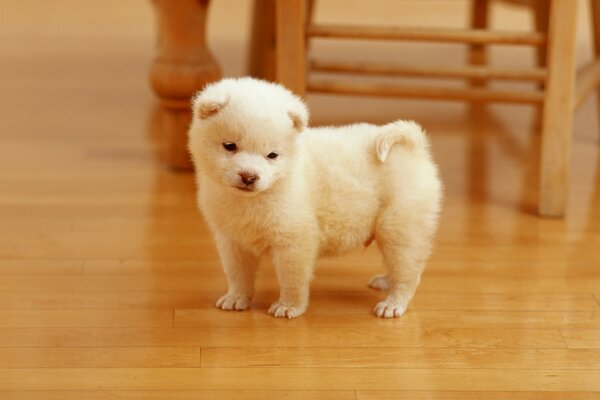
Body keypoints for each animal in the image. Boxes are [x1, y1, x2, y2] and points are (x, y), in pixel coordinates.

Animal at [190, 77, 442, 318]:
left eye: (272, 155)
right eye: (229, 146)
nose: (249, 177)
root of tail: (415, 148)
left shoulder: (294, 241)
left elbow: (292, 279)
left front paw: (289, 307)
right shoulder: (232, 241)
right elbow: (237, 275)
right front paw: (236, 298)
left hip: (399, 228)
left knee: (408, 273)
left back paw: (393, 303)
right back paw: (385, 282)